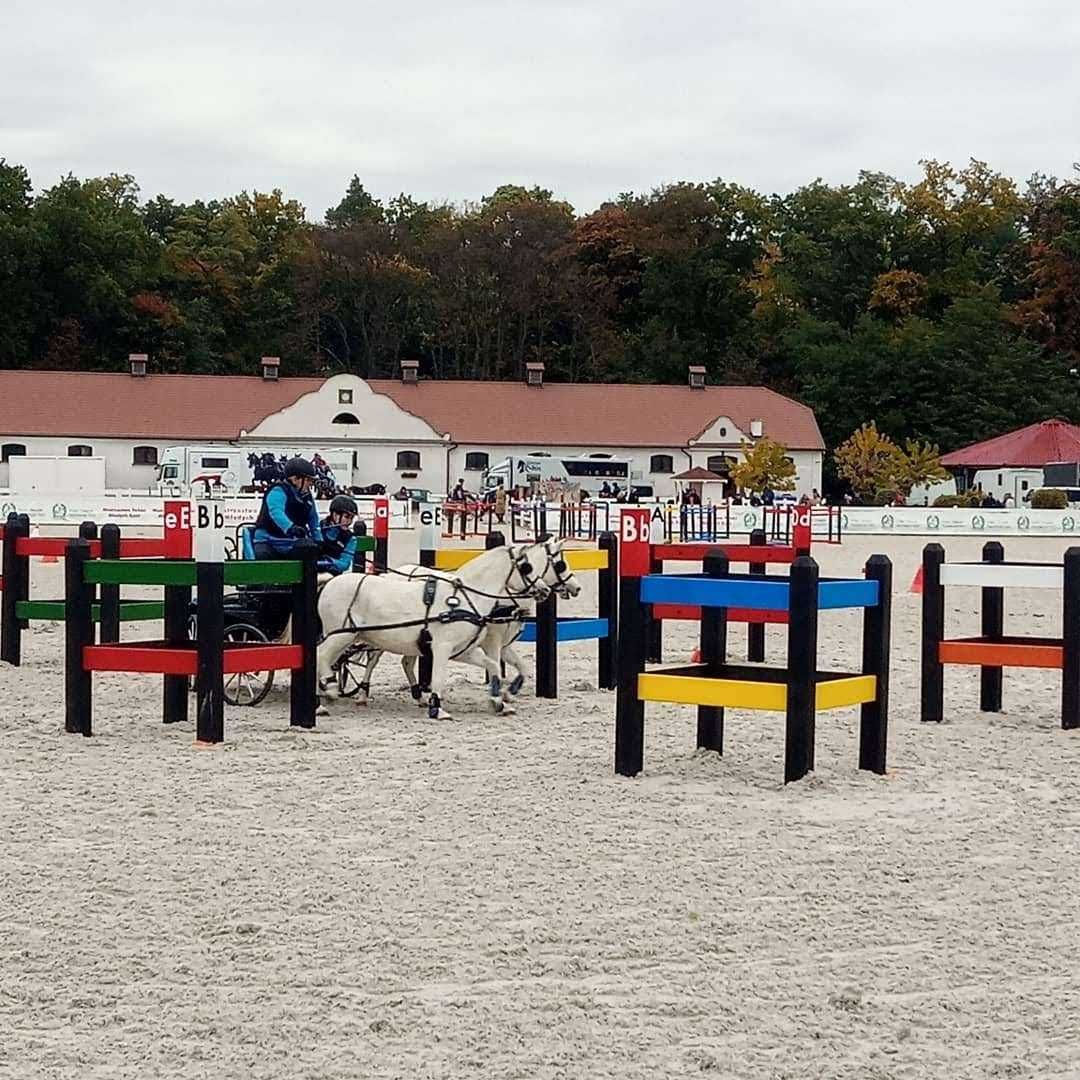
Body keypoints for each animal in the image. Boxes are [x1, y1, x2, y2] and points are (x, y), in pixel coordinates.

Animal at [315, 540, 578, 717]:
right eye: (527, 568)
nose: (544, 590)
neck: (467, 598)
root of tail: (330, 582)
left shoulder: (465, 650)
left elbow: (498, 667)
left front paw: (502, 697)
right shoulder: (448, 646)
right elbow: (440, 676)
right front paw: (437, 708)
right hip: (342, 635)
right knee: (322, 656)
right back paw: (330, 691)